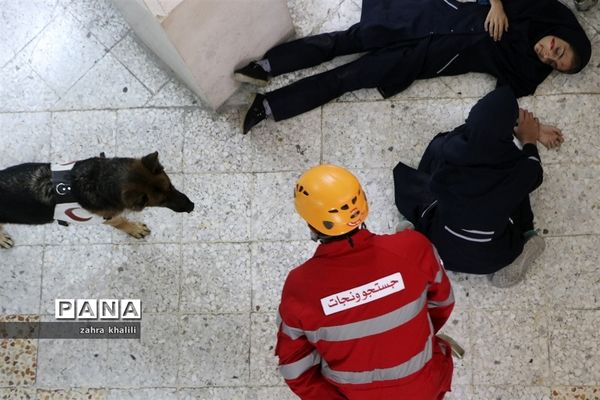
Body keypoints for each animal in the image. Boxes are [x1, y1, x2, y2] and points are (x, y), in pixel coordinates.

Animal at [0, 152, 192, 248]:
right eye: (161, 202)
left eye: (171, 186)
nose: (192, 206)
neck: (100, 179)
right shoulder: (108, 218)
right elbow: (122, 222)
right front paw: (134, 229)